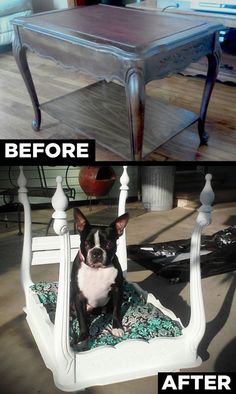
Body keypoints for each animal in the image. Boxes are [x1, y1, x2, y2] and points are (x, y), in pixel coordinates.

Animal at [70, 208, 129, 346]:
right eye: (86, 243)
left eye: (109, 244)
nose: (96, 252)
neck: (97, 269)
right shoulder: (78, 296)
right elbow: (81, 319)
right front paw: (83, 337)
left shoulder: (117, 290)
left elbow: (117, 311)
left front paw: (117, 327)